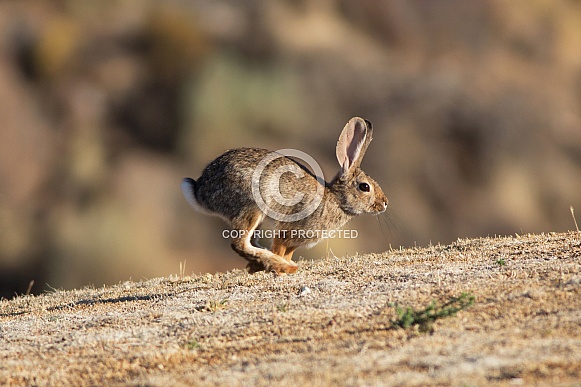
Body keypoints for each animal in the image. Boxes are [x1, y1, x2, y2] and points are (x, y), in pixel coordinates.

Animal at [180, 117, 390, 276]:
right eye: (365, 187)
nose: (385, 203)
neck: (336, 199)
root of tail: (201, 191)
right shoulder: (287, 231)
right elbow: (279, 248)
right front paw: (280, 268)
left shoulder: (293, 244)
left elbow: (288, 252)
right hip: (251, 206)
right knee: (239, 243)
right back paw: (280, 266)